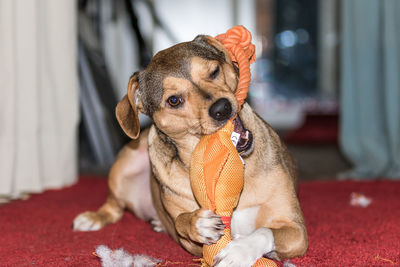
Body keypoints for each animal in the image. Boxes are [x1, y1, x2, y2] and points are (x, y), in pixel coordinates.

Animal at [73, 35, 308, 266]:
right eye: (174, 100)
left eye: (214, 71)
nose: (222, 108)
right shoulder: (192, 243)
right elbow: (180, 221)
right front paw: (197, 224)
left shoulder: (296, 230)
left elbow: (263, 232)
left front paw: (239, 251)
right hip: (124, 165)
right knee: (114, 206)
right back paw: (92, 218)